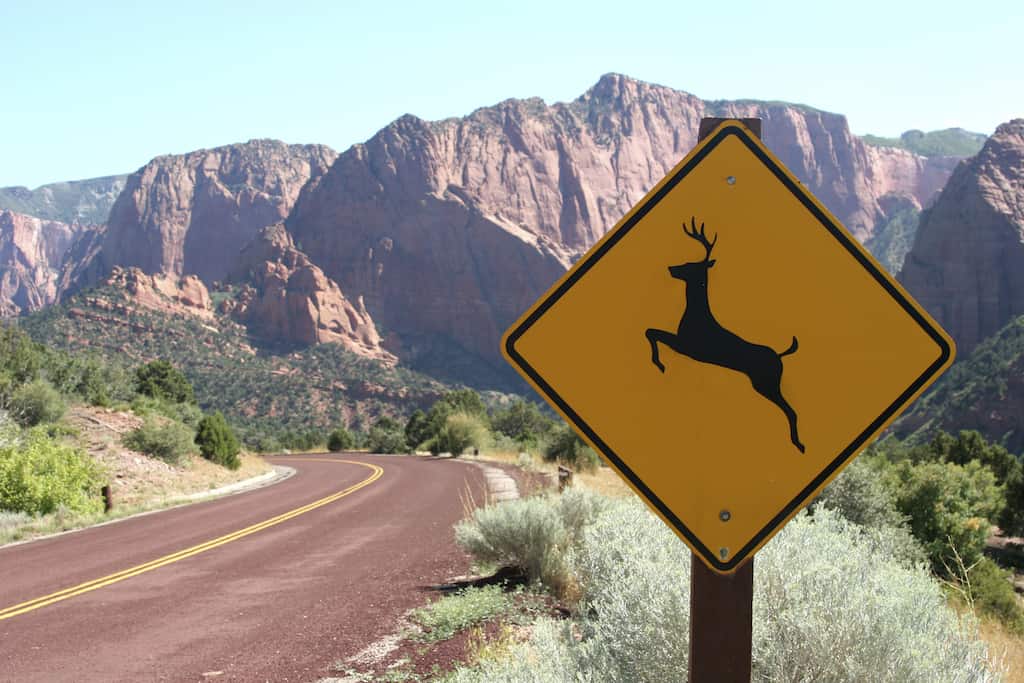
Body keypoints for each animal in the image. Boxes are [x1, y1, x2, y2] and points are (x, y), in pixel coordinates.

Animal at [645, 217, 805, 453]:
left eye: (690, 265)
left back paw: (799, 444)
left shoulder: (687, 346)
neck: (696, 314)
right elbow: (651, 331)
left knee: (791, 411)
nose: (671, 268)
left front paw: (660, 364)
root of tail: (780, 355)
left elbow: (651, 332)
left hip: (766, 383)